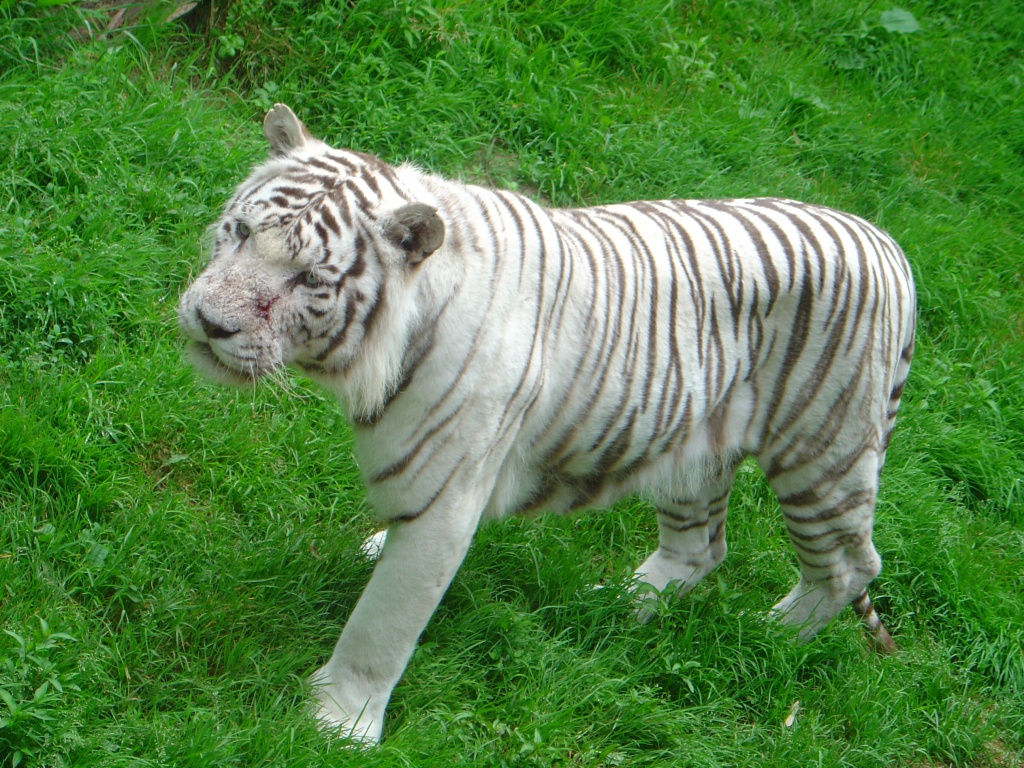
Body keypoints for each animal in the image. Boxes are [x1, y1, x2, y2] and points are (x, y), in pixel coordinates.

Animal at [178, 103, 921, 745]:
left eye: (308, 279)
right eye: (240, 233)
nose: (210, 323)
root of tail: (890, 244)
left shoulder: (445, 498)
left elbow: (383, 623)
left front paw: (337, 720)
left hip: (821, 454)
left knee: (849, 566)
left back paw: (766, 638)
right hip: (696, 448)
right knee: (701, 548)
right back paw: (610, 605)